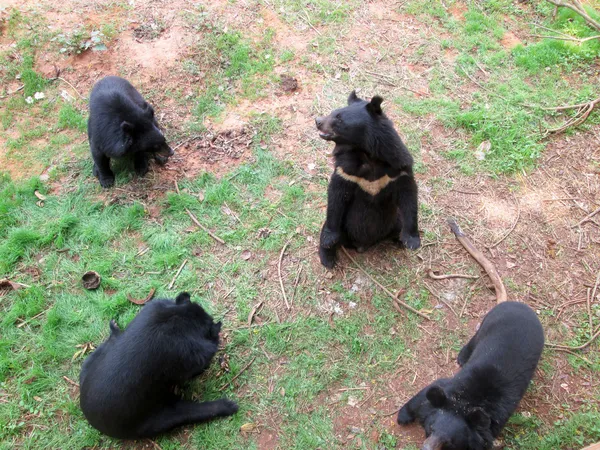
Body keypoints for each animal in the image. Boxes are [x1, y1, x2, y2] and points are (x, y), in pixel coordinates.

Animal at [79, 292, 239, 440]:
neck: (178, 319)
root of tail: (91, 418)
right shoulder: (191, 354)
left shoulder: (154, 306)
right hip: (155, 419)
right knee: (186, 412)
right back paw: (228, 406)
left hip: (88, 364)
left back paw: (115, 328)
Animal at [316, 90, 420, 268]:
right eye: (333, 113)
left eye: (339, 118)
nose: (318, 121)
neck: (367, 154)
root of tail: (362, 245)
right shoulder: (346, 171)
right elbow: (336, 195)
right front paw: (329, 240)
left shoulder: (399, 168)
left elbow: (408, 195)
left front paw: (411, 241)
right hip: (343, 224)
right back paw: (328, 258)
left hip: (395, 220)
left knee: (399, 224)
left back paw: (399, 240)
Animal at [396, 302, 548, 450]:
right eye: (431, 428)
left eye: (449, 442)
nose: (426, 448)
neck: (465, 402)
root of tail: (521, 305)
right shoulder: (449, 386)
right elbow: (427, 392)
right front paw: (403, 417)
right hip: (487, 321)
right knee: (475, 338)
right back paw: (462, 357)